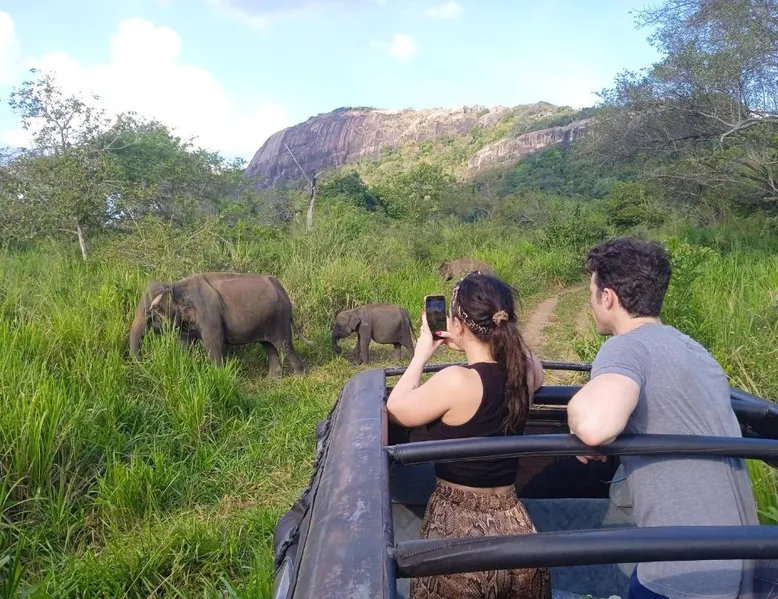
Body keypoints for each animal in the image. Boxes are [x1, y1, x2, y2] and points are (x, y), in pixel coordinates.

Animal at [129, 272, 311, 376]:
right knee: (268, 346)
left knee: (284, 345)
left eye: (150, 313)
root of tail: (282, 290)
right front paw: (183, 364)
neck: (175, 285)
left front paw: (219, 375)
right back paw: (272, 379)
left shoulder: (209, 315)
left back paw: (299, 376)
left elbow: (213, 342)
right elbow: (185, 343)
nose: (146, 366)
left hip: (279, 318)